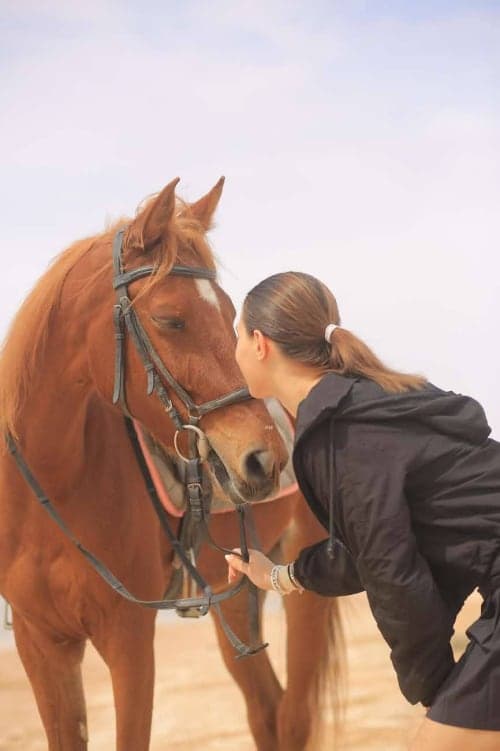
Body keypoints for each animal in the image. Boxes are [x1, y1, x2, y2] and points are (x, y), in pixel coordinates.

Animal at [0, 177, 344, 750]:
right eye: (170, 319)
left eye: (229, 314)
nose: (264, 458)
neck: (57, 485)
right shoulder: (41, 644)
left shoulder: (130, 638)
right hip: (238, 590)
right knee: (267, 709)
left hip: (303, 587)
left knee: (293, 716)